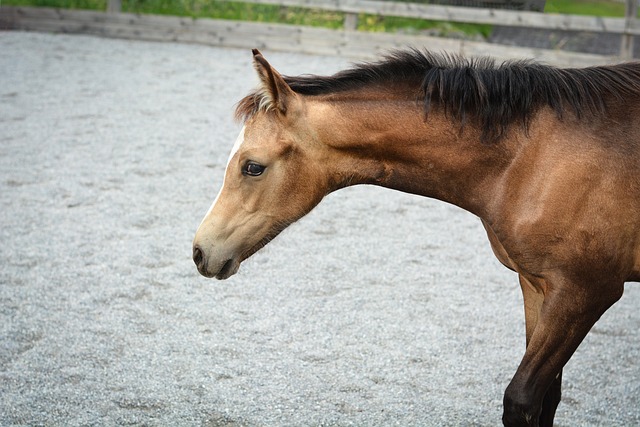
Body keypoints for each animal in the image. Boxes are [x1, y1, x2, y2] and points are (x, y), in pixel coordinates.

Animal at [191, 50, 640, 427]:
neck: (529, 158)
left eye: (252, 166)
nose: (199, 251)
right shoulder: (537, 286)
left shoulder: (585, 291)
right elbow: (546, 400)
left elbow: (522, 399)